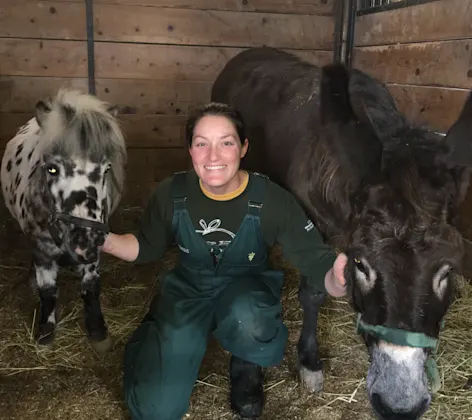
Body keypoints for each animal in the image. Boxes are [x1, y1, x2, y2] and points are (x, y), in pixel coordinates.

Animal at [0, 90, 127, 352]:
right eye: (52, 169)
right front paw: (46, 330)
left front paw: (97, 330)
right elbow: (48, 290)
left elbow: (90, 287)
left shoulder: (94, 254)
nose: (84, 241)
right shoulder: (42, 250)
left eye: (106, 169)